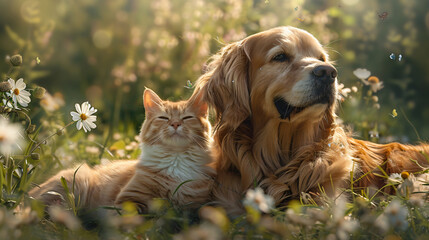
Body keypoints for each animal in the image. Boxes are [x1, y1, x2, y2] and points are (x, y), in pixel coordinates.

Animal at [28, 88, 214, 212]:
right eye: (163, 118)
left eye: (187, 117)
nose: (175, 124)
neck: (176, 161)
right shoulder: (129, 198)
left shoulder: (194, 205)